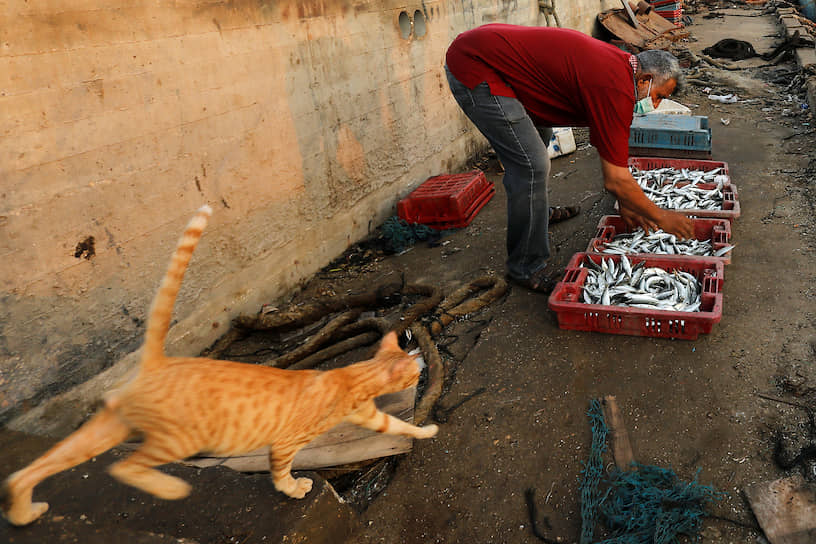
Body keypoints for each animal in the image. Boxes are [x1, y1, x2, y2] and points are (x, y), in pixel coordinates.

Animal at [1, 205, 440, 528]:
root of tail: (158, 361)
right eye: (413, 372)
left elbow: (400, 426)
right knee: (125, 466)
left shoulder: (369, 417)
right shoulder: (285, 442)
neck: (350, 376)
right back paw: (170, 490)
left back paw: (24, 512)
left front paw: (426, 430)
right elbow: (281, 471)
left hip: (108, 428)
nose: (420, 370)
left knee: (33, 469)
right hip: (178, 438)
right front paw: (293, 488)